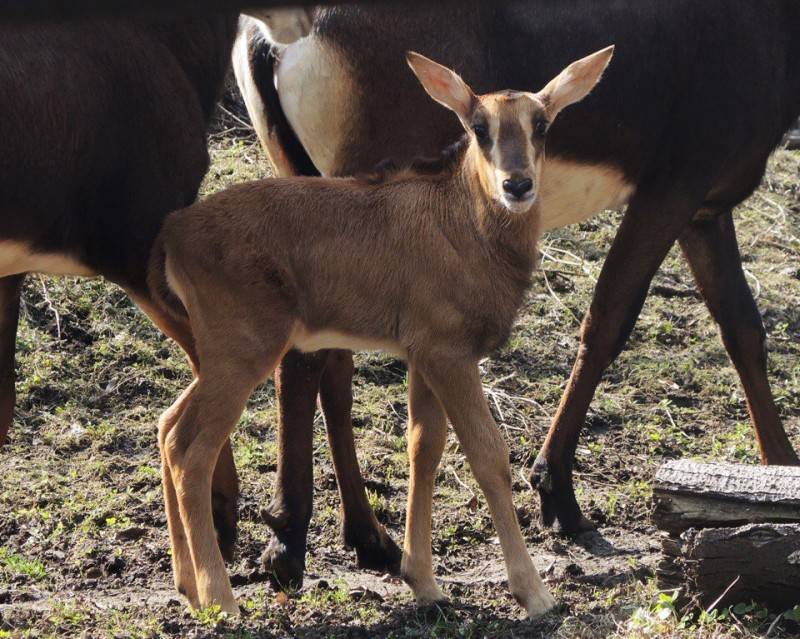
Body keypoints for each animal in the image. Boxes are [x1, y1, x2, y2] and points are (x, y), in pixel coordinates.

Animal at [148, 45, 612, 616]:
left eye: (541, 123)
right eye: (479, 126)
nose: (518, 185)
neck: (463, 221)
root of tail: (174, 233)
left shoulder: (424, 357)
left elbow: (423, 447)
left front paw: (425, 582)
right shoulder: (450, 355)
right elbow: (488, 454)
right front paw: (534, 593)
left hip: (219, 358)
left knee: (168, 425)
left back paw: (187, 585)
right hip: (242, 354)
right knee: (190, 450)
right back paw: (219, 599)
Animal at [238, 0, 800, 580]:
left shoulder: (704, 212)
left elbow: (742, 329)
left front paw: (779, 480)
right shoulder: (670, 191)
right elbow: (608, 323)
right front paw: (558, 494)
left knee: (333, 363)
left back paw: (369, 537)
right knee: (305, 360)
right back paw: (289, 541)